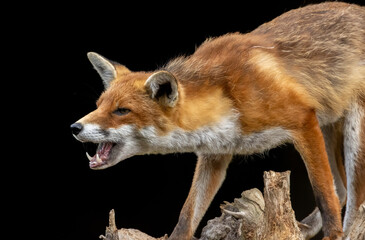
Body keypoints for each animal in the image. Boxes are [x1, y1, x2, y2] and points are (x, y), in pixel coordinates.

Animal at [71, 2, 364, 240]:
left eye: (121, 111)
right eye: (99, 106)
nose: (75, 127)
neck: (226, 94)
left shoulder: (303, 119)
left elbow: (324, 193)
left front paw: (333, 235)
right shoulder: (214, 154)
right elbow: (187, 214)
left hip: (352, 132)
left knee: (353, 197)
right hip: (327, 125)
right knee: (341, 189)